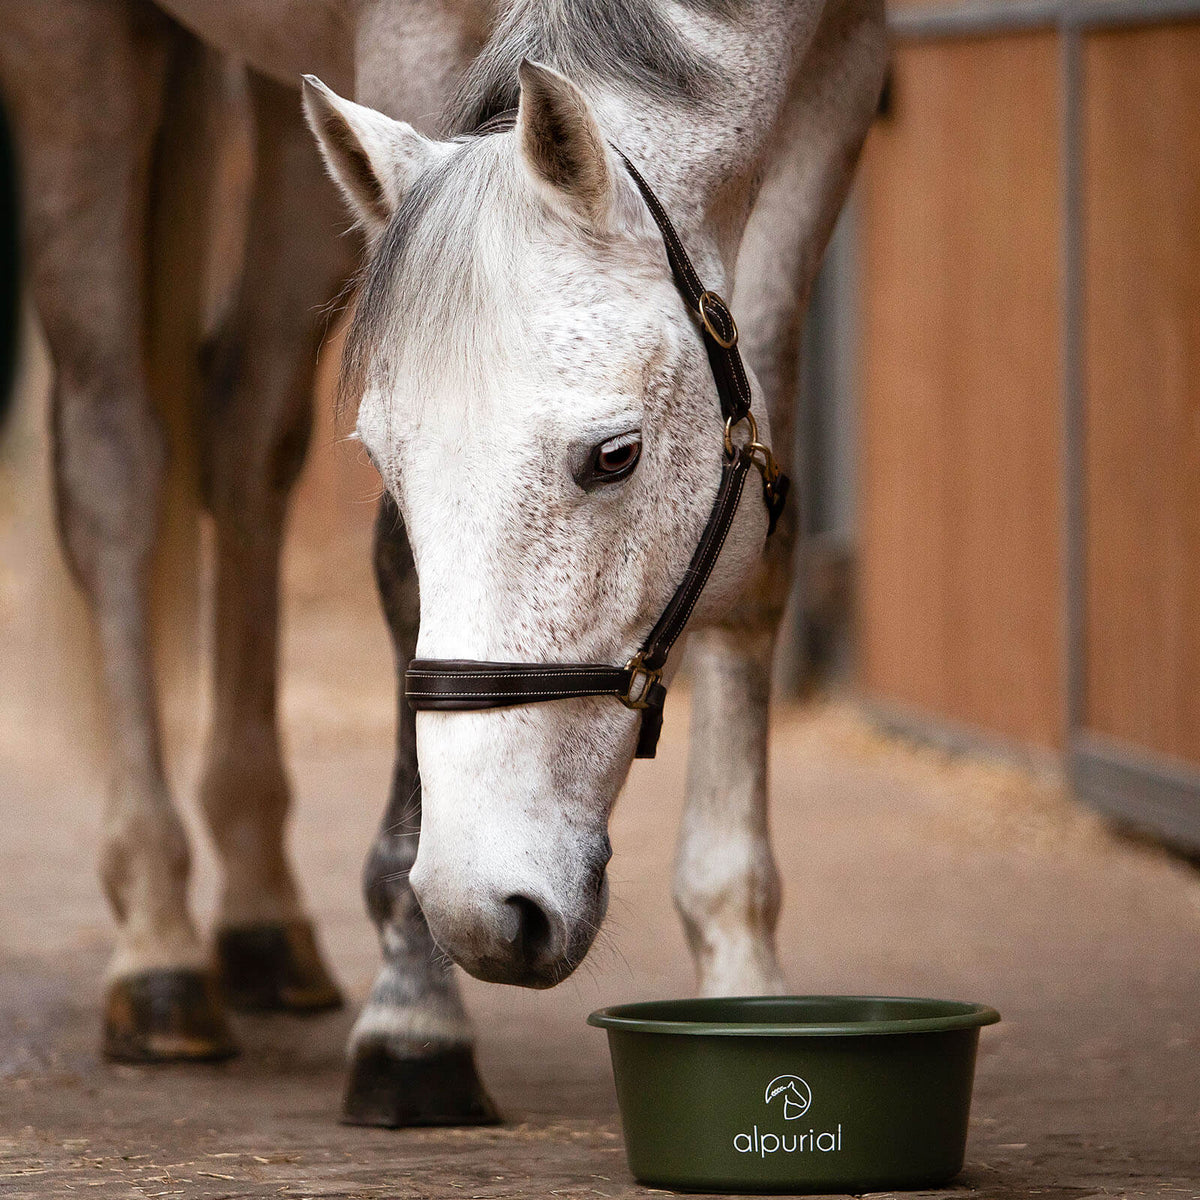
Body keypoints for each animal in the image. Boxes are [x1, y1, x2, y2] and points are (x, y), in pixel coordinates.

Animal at [0, 0, 885, 1125]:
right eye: (387, 463)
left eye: (615, 455)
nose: (484, 904)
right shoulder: (408, 44)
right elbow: (394, 566)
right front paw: (415, 1014)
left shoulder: (834, 90)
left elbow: (761, 535)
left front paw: (743, 975)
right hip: (75, 56)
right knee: (114, 469)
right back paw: (159, 946)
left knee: (244, 428)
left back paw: (261, 919)